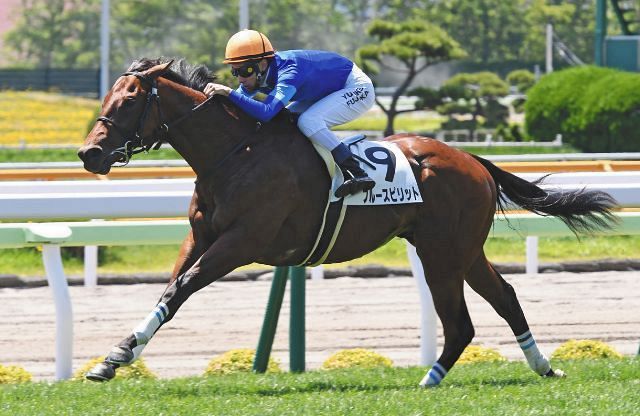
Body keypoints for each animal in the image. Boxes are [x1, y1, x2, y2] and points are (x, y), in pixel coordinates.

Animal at [77, 58, 617, 386]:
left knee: (460, 320)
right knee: (503, 297)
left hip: (442, 253)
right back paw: (543, 367)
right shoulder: (202, 235)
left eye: (129, 101)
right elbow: (170, 289)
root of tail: (473, 160)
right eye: (105, 98)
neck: (235, 152)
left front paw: (117, 356)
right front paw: (113, 358)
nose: (89, 154)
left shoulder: (243, 240)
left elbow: (183, 286)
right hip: (462, 250)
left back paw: (429, 380)